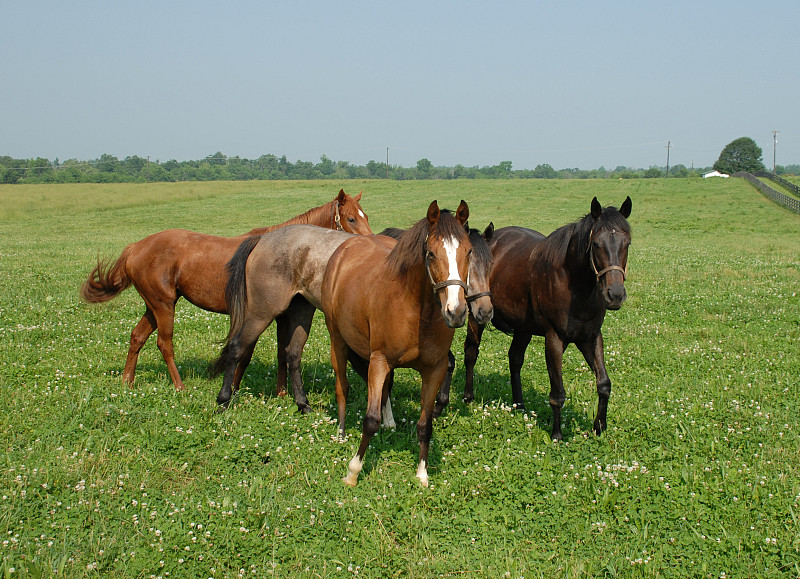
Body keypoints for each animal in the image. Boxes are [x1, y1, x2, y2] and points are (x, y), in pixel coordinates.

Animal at [78, 188, 372, 392]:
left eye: (365, 216)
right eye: (350, 219)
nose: (371, 243)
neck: (285, 249)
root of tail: (135, 248)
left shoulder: (281, 316)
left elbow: (280, 352)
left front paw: (280, 392)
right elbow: (247, 352)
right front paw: (235, 387)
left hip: (154, 306)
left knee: (137, 337)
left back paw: (127, 381)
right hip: (163, 306)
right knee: (164, 343)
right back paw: (179, 386)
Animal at [320, 202, 472, 488]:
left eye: (469, 252)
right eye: (431, 254)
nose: (456, 312)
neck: (416, 312)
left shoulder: (434, 370)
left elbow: (425, 425)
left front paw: (422, 473)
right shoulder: (378, 361)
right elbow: (370, 420)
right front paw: (353, 471)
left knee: (386, 389)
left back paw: (389, 423)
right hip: (337, 340)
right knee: (342, 387)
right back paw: (341, 432)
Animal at [456, 197, 632, 442]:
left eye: (627, 244)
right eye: (596, 244)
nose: (615, 295)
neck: (575, 286)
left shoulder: (591, 337)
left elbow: (604, 383)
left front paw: (599, 427)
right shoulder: (554, 339)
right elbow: (557, 393)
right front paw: (557, 434)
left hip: (523, 328)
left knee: (515, 358)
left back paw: (519, 404)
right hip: (477, 316)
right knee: (471, 353)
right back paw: (468, 396)